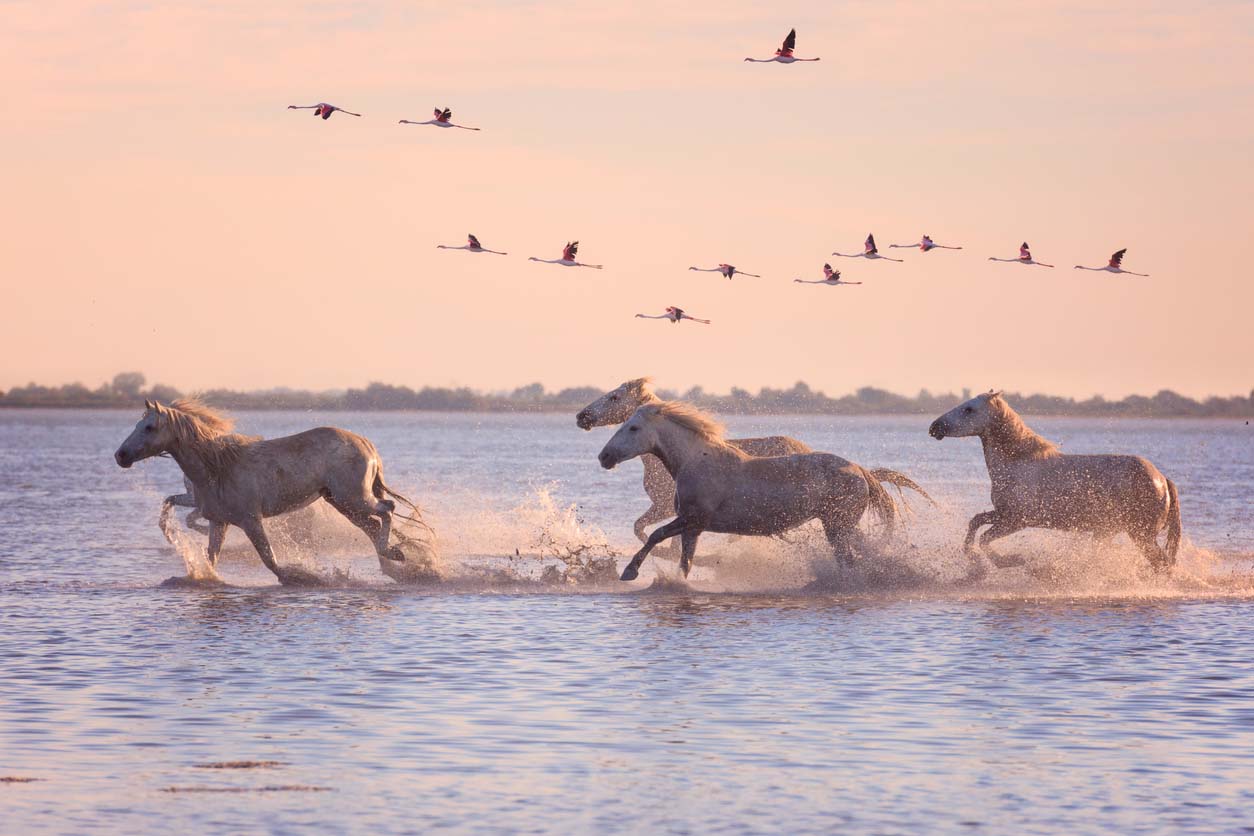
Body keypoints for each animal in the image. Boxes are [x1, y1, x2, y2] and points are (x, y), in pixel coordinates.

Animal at [591, 401, 927, 581]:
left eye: (633, 428)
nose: (604, 457)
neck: (695, 461)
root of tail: (859, 470)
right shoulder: (693, 528)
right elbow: (684, 561)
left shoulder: (694, 519)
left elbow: (655, 535)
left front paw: (630, 572)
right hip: (842, 526)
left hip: (837, 526)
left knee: (850, 560)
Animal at [927, 393, 1178, 576]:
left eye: (969, 409)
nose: (934, 426)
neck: (1018, 463)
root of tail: (1162, 480)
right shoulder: (1002, 513)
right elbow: (975, 523)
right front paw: (974, 563)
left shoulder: (1017, 520)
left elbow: (985, 539)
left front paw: (1011, 561)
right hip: (1109, 532)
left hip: (1141, 536)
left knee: (1163, 565)